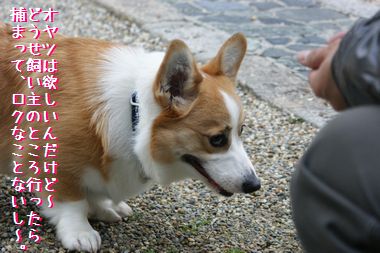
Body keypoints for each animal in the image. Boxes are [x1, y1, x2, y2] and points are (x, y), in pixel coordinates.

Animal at [0, 23, 262, 251]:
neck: (134, 115)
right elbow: (73, 202)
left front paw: (103, 208)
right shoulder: (53, 160)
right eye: (217, 139)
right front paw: (80, 232)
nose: (254, 185)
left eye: (241, 130)